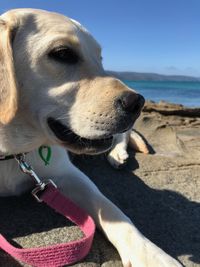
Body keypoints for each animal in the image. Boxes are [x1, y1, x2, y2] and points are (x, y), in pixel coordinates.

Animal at [0, 8, 181, 267]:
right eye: (62, 53)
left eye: (100, 58)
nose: (138, 103)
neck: (14, 153)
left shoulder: (68, 175)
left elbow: (111, 209)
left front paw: (152, 255)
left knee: (122, 136)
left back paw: (118, 155)